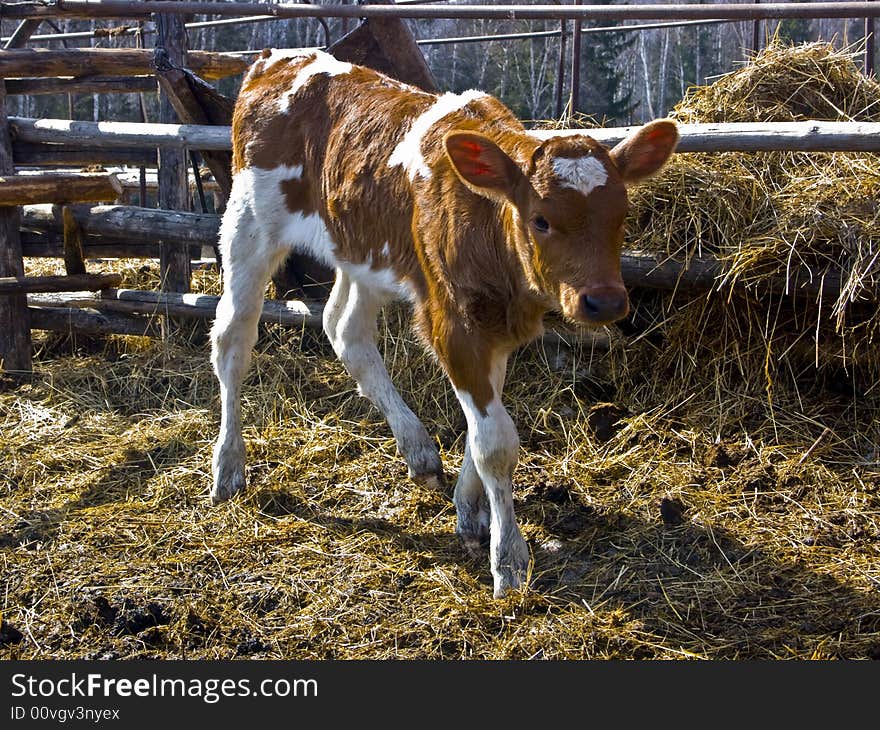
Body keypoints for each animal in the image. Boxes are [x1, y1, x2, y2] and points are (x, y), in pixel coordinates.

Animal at [213, 49, 680, 596]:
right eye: (541, 219)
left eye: (622, 214)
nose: (604, 302)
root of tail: (281, 58)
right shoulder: (453, 323)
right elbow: (496, 443)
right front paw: (508, 559)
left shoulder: (496, 327)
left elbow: (485, 424)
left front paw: (470, 510)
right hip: (248, 224)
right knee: (233, 339)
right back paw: (229, 467)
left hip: (361, 248)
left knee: (345, 329)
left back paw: (418, 450)